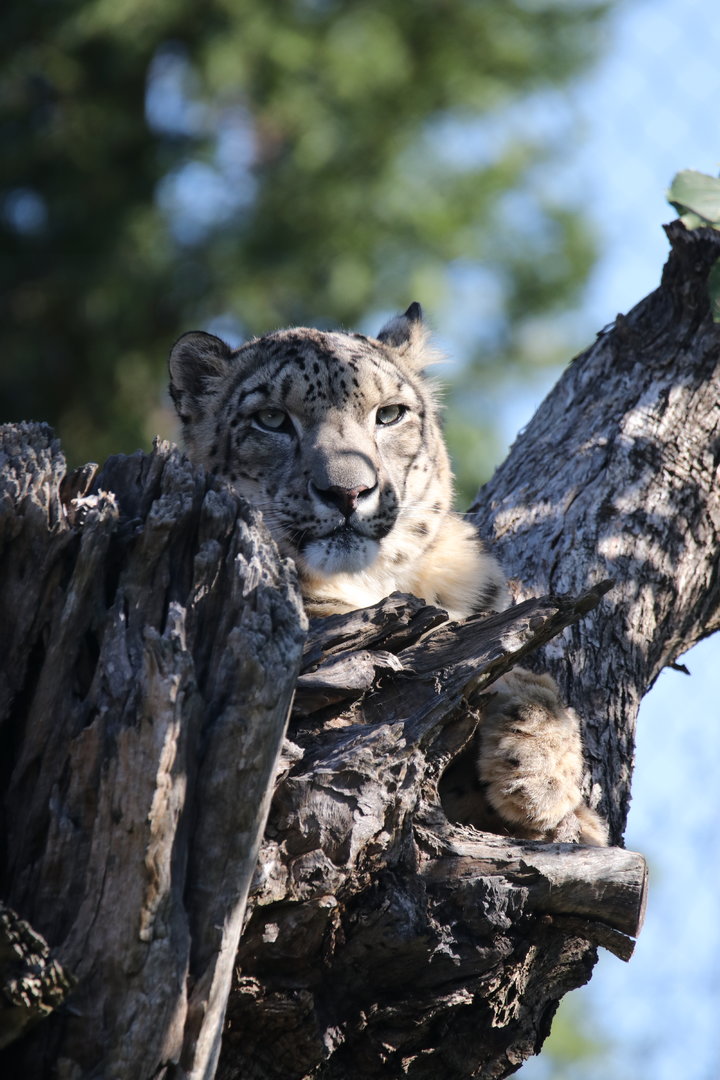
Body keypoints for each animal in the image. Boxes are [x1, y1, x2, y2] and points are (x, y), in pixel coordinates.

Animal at [169, 302, 608, 846]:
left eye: (390, 413)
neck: (378, 583)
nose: (347, 492)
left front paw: (544, 779)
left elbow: (522, 671)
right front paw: (540, 783)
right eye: (270, 419)